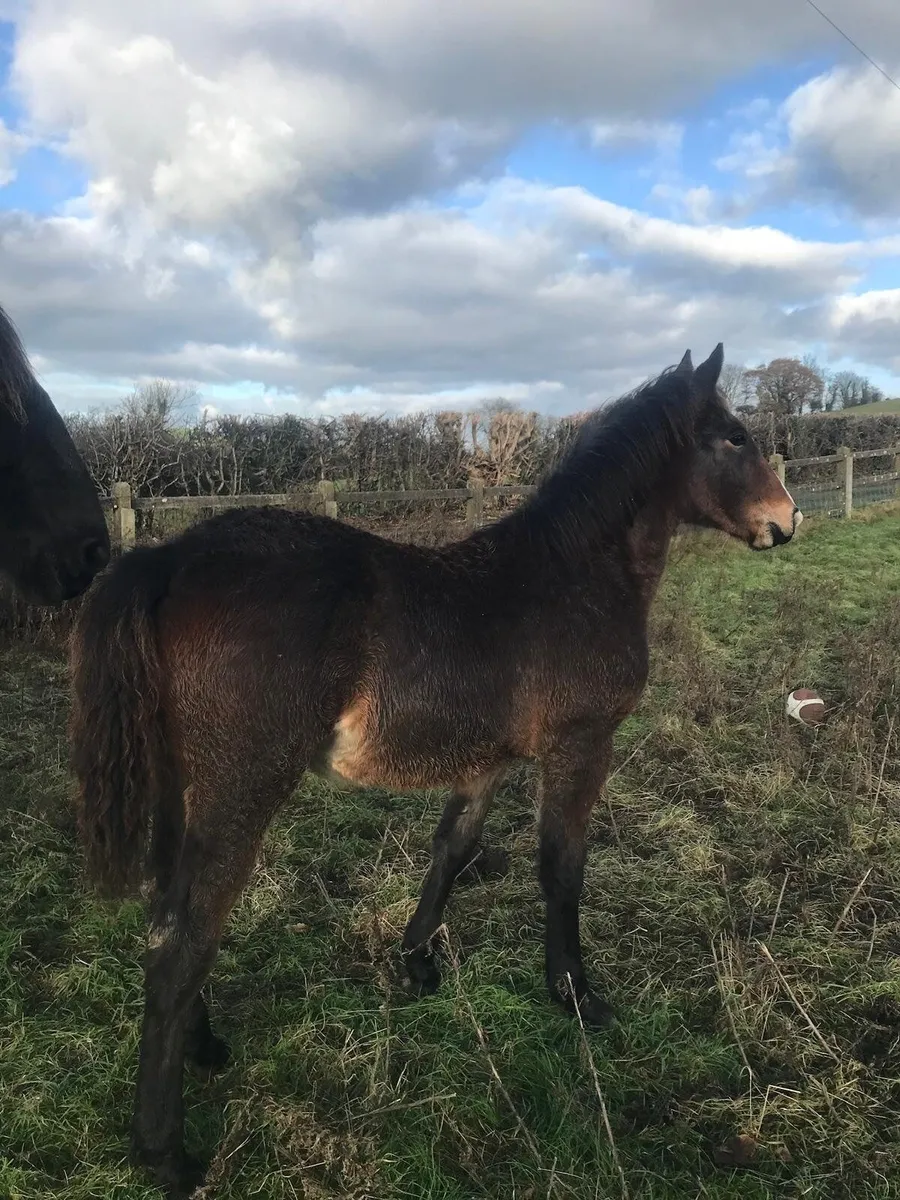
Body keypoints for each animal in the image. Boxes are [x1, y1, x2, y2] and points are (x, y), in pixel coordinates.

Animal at [69, 343, 801, 1197]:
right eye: (733, 437)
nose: (787, 520)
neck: (571, 576)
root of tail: (169, 558)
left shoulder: (489, 760)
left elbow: (452, 847)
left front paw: (417, 963)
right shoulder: (581, 745)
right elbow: (563, 867)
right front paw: (576, 995)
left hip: (180, 790)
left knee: (166, 914)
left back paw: (204, 1047)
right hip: (240, 787)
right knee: (183, 940)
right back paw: (167, 1153)